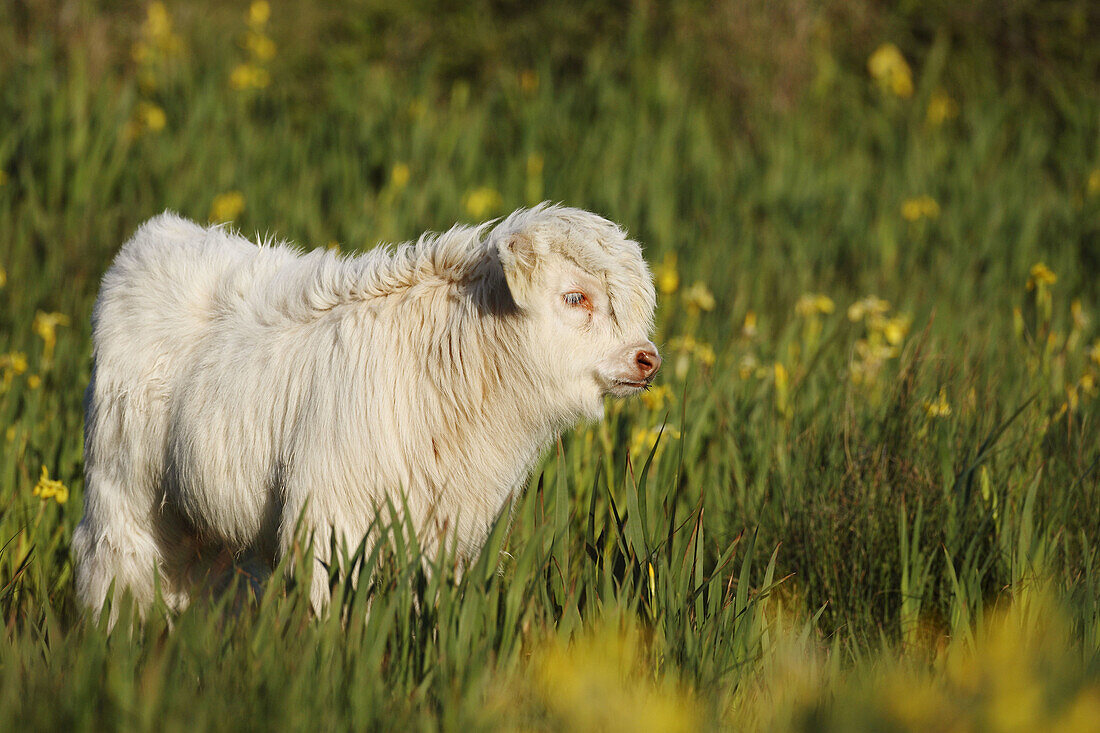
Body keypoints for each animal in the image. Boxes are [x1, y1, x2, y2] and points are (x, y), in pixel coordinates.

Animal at [77, 202, 664, 611]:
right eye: (575, 297)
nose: (647, 358)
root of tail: (156, 235)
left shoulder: (441, 533)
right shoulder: (327, 521)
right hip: (122, 488)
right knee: (114, 565)